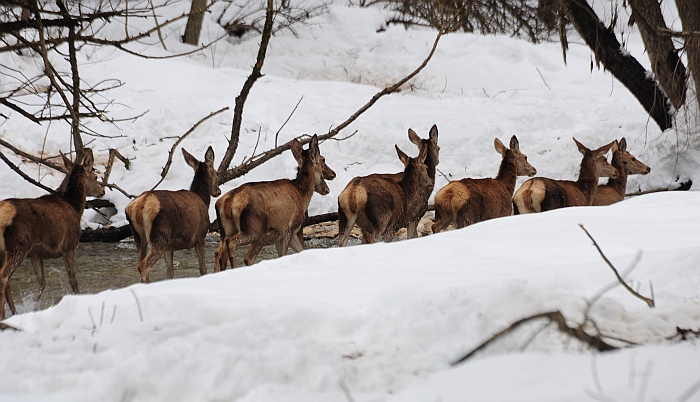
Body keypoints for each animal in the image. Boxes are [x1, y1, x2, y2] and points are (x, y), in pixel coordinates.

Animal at [0, 148, 104, 320]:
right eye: (95, 176)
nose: (103, 190)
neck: (76, 208)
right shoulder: (69, 245)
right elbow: (73, 280)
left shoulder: (36, 254)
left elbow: (42, 283)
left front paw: (33, 307)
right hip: (18, 246)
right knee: (4, 277)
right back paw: (3, 315)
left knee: (8, 281)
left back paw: (14, 313)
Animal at [124, 147, 220, 282]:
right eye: (217, 173)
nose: (218, 191)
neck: (204, 199)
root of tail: (140, 205)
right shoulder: (200, 235)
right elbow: (203, 269)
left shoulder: (170, 247)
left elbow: (169, 272)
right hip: (159, 236)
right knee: (144, 266)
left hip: (139, 237)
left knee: (139, 264)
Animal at [213, 135, 336, 270]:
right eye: (323, 159)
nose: (333, 173)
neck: (302, 196)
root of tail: (228, 202)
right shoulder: (289, 229)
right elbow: (283, 254)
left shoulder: (290, 233)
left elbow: (302, 250)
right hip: (255, 229)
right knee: (237, 248)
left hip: (226, 230)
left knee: (219, 252)